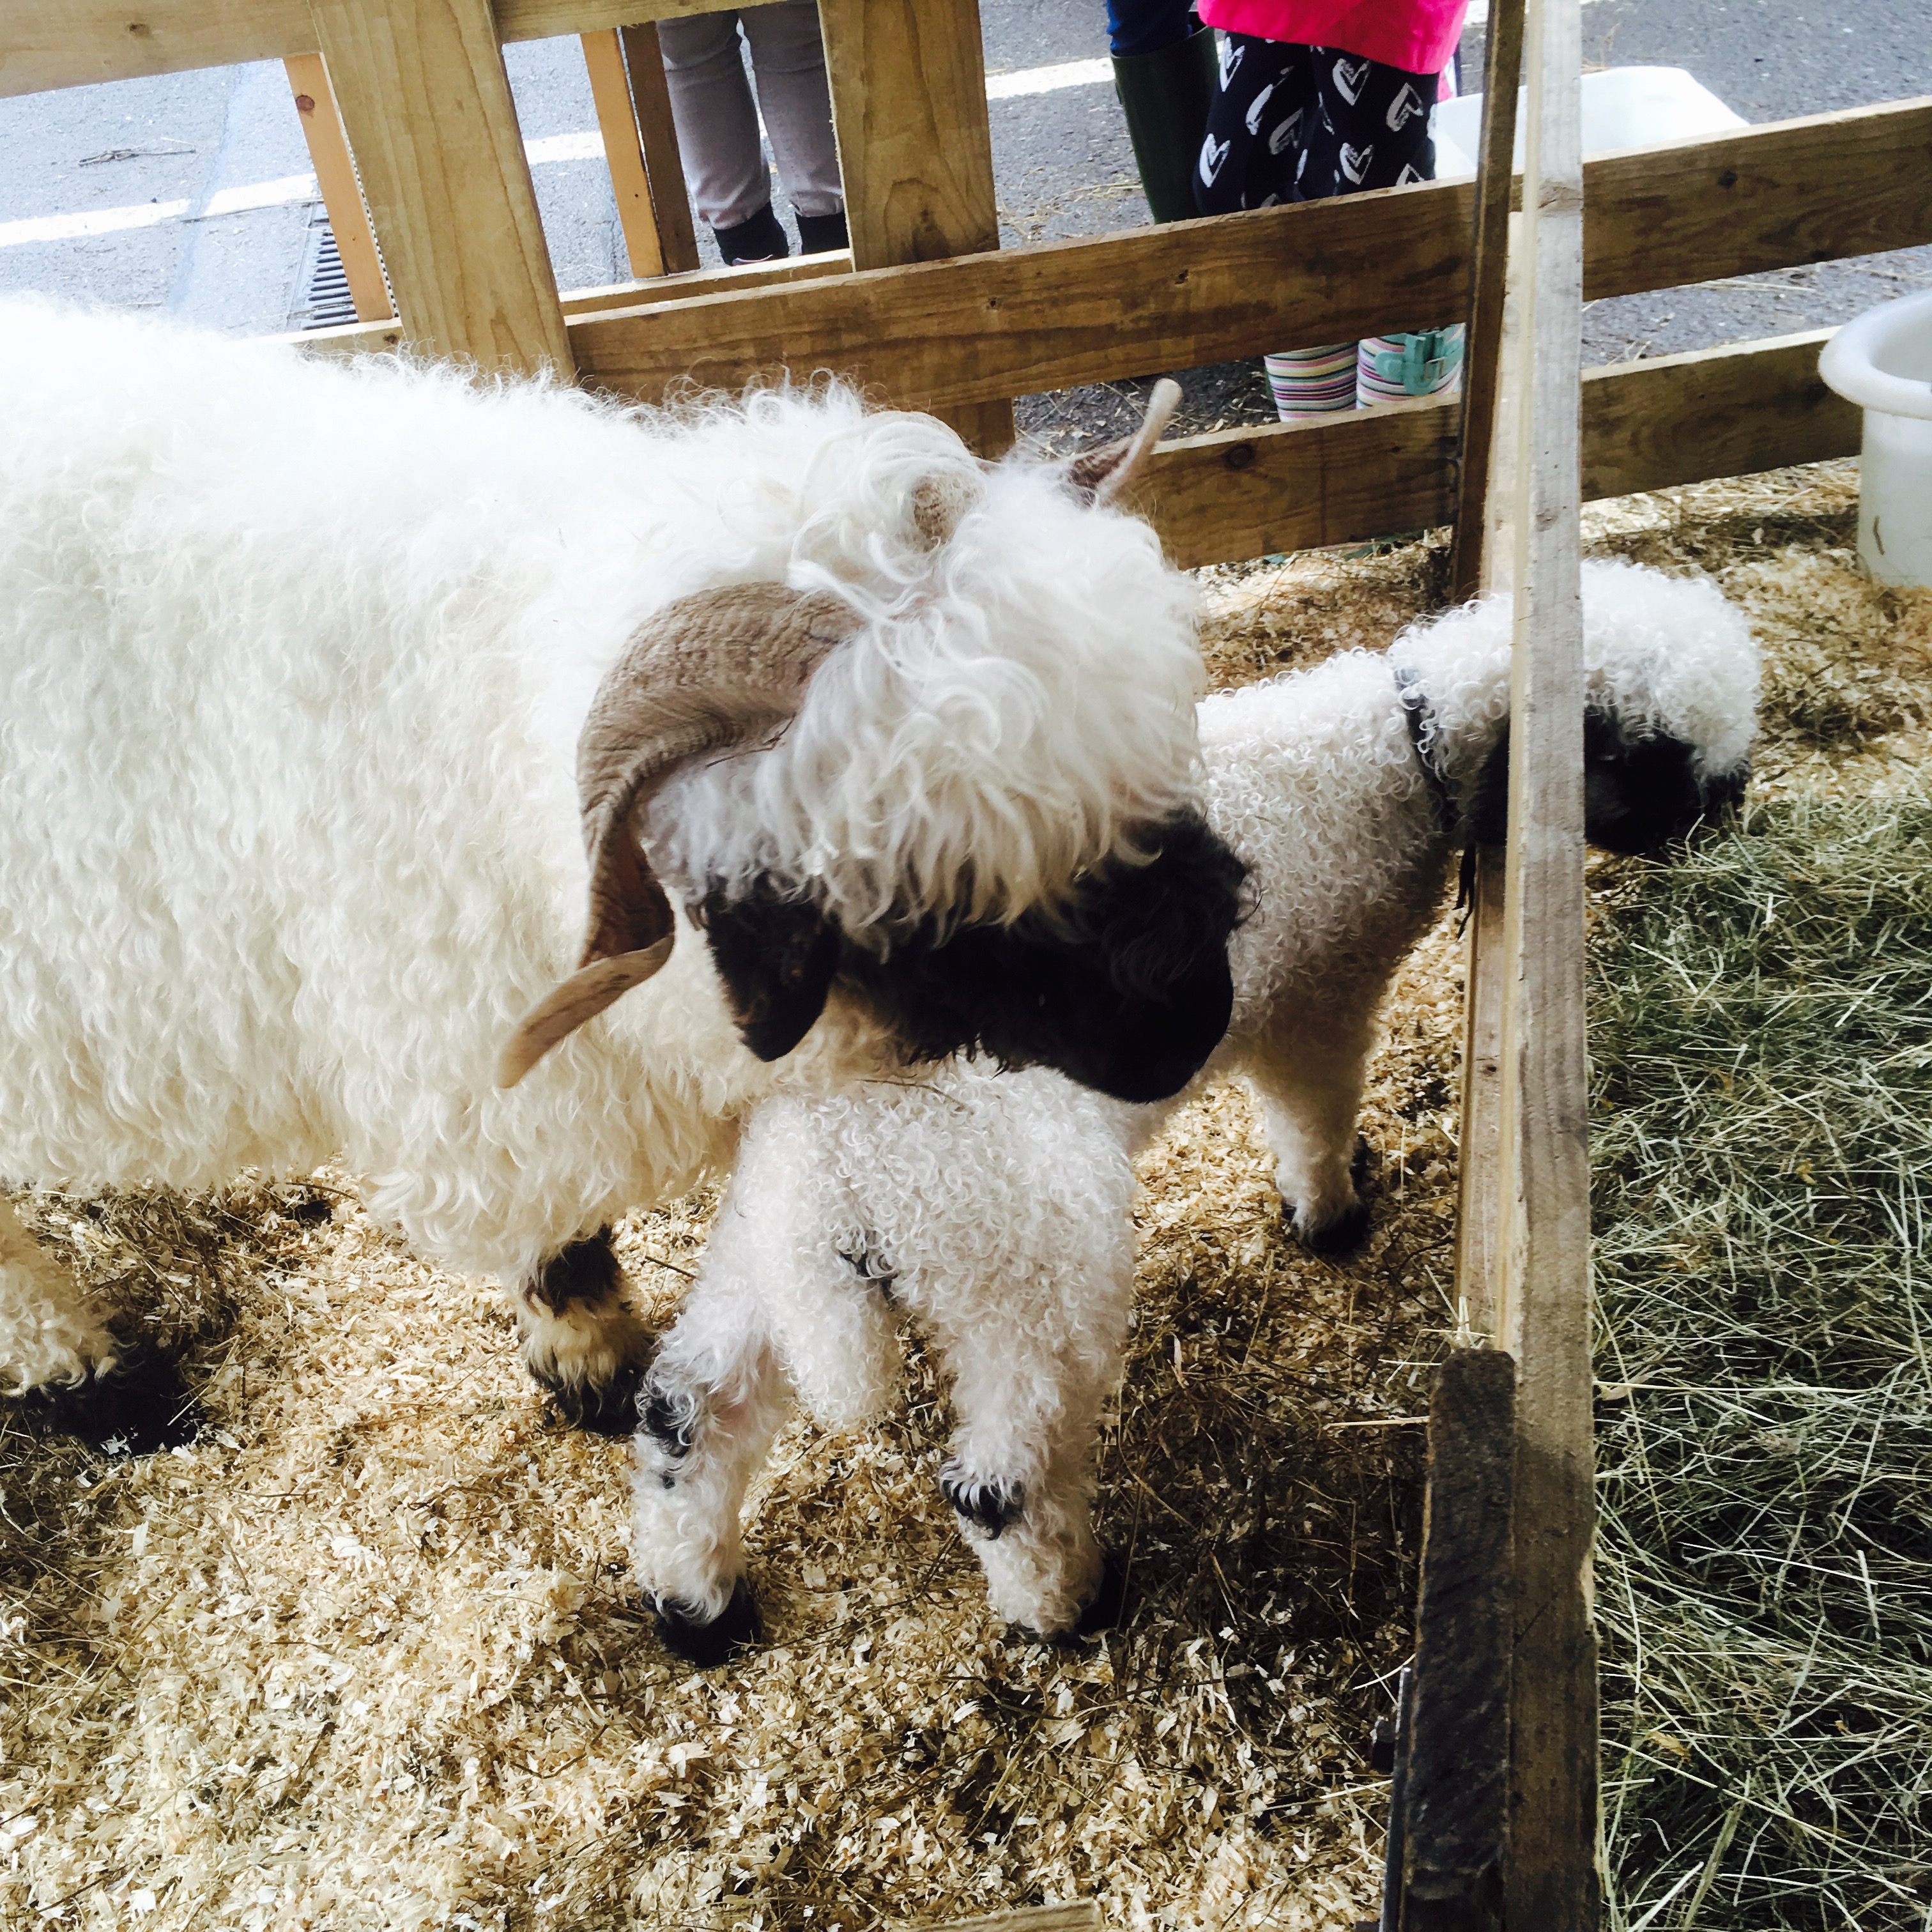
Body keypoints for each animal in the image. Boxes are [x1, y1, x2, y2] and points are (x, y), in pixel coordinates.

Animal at [0, 296, 1244, 1453]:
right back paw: (87, 1373)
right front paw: (589, 1363)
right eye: (910, 876)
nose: (1193, 1024)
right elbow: (558, 1231)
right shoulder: (484, 1070)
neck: (498, 688)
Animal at [627, 559, 1758, 1659]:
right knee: (998, 1487)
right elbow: (1314, 1116)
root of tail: (841, 1174)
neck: (1387, 753)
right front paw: (1331, 1217)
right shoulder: (1319, 1004)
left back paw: (698, 1610)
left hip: (761, 1249)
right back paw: (1068, 1609)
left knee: (686, 1410)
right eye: (1656, 755)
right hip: (1023, 1276)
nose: (1731, 814)